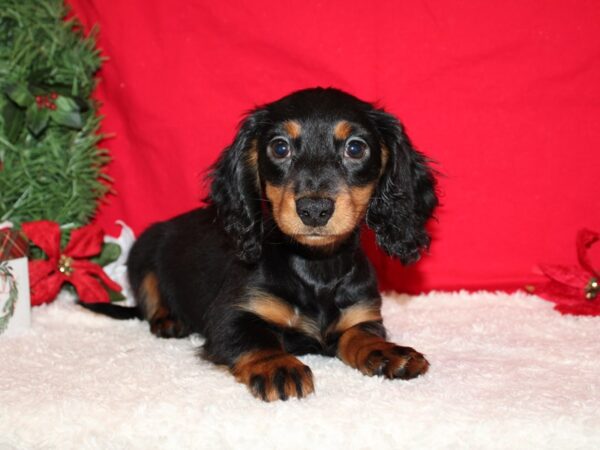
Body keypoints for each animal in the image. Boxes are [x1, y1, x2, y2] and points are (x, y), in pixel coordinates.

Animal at [89, 87, 438, 400]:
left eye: (355, 148)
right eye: (280, 147)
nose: (314, 209)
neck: (317, 266)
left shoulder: (362, 315)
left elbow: (360, 336)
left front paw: (389, 353)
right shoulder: (230, 317)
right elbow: (258, 340)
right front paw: (279, 366)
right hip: (143, 252)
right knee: (150, 298)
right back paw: (169, 319)